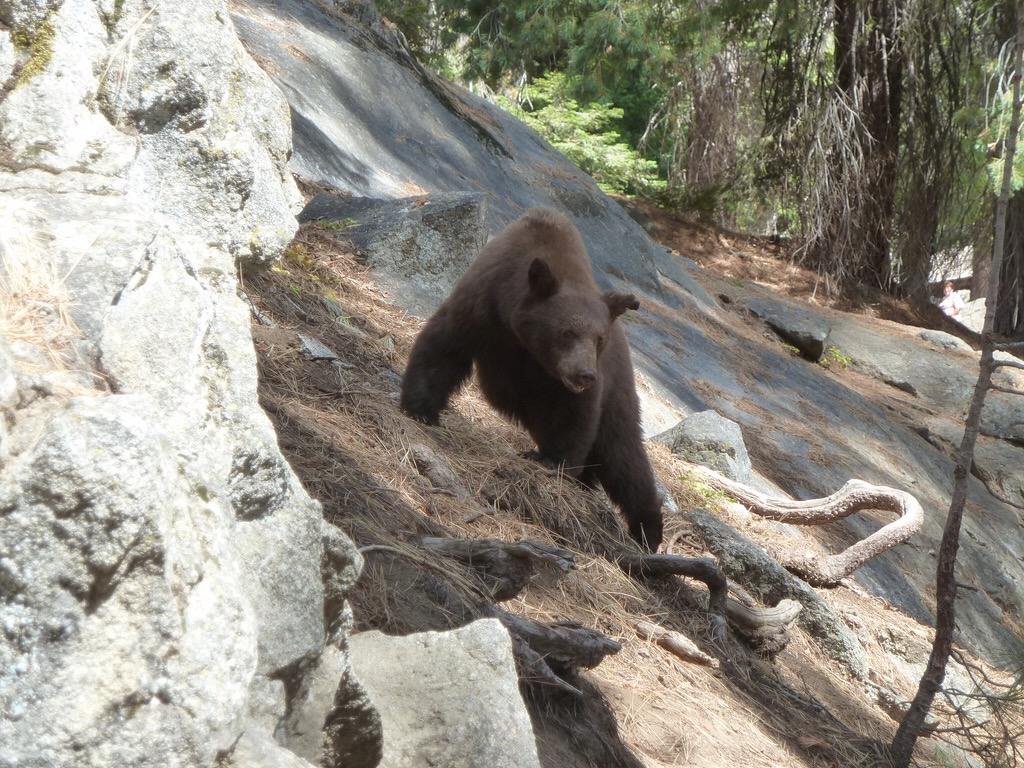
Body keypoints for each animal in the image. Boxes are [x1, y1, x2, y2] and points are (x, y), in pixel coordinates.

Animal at [399, 207, 663, 548]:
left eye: (599, 338)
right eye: (568, 332)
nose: (585, 375)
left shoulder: (563, 381)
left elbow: (573, 416)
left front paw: (554, 462)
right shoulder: (480, 307)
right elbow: (444, 348)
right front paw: (421, 409)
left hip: (618, 389)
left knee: (623, 455)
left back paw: (647, 528)